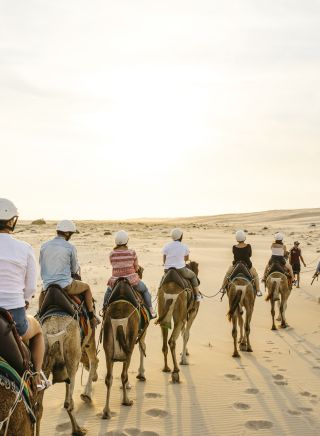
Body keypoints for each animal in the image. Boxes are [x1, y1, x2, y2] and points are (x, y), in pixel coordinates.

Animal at [102, 280, 148, 418]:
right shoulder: (141, 333)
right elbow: (142, 347)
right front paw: (141, 375)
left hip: (108, 343)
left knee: (109, 378)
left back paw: (106, 411)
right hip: (130, 340)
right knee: (124, 373)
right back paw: (126, 401)